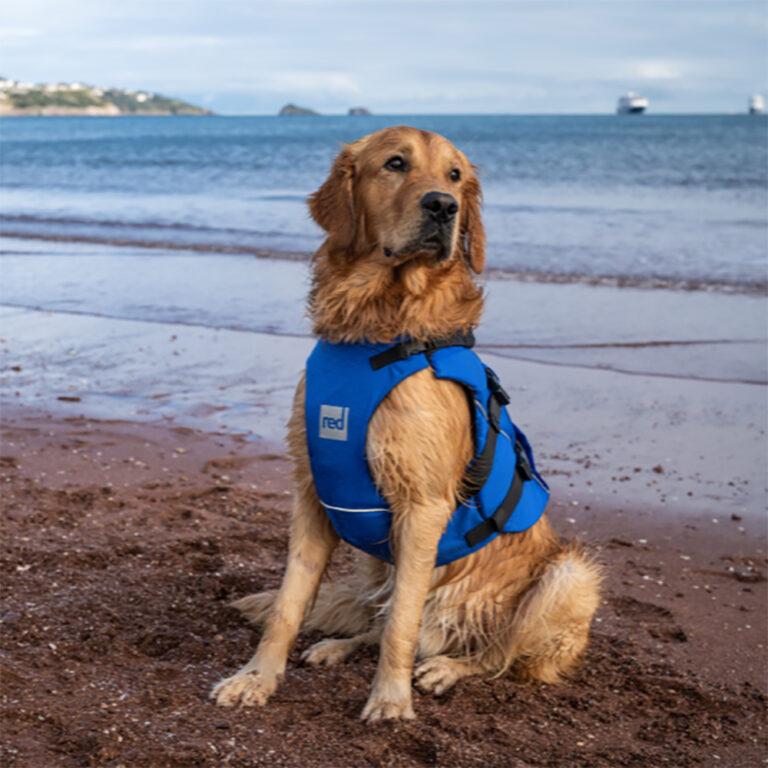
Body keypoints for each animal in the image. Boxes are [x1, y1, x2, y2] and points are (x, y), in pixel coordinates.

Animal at [210, 124, 600, 720]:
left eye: (455, 176)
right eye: (395, 164)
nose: (444, 206)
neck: (376, 328)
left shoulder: (422, 505)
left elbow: (401, 624)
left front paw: (390, 700)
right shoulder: (312, 494)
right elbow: (289, 603)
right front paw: (257, 677)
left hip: (569, 577)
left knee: (496, 654)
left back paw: (446, 667)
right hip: (380, 557)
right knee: (388, 619)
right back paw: (339, 646)